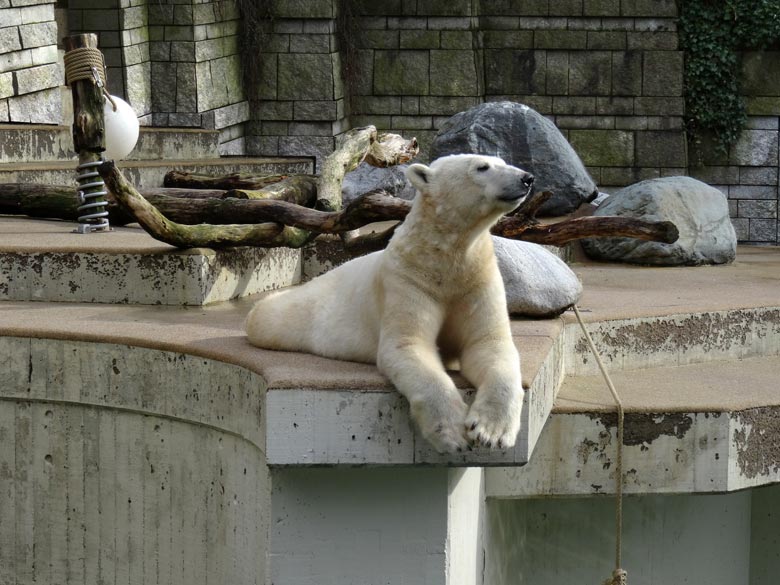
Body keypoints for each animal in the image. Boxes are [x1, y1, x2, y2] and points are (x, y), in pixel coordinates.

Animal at [247, 154, 532, 452]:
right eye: (482, 167)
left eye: (502, 161)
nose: (527, 178)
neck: (443, 256)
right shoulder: (408, 278)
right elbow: (408, 344)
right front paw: (454, 435)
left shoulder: (477, 279)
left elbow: (488, 343)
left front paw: (491, 431)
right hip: (302, 310)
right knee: (274, 317)